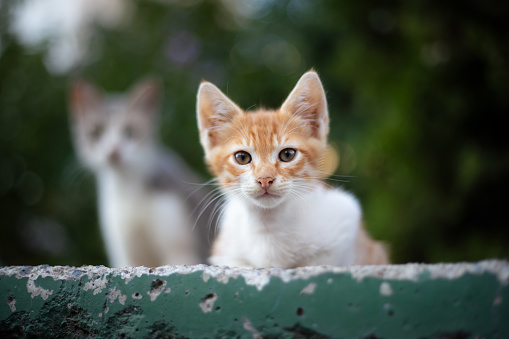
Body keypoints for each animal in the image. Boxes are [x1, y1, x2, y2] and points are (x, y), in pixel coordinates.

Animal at [69, 78, 212, 266]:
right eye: (96, 132)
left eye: (130, 131)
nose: (114, 151)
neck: (128, 191)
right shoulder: (124, 252)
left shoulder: (180, 249)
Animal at [196, 71, 386, 268]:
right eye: (242, 157)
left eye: (287, 154)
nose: (265, 179)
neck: (269, 227)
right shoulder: (227, 253)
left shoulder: (349, 223)